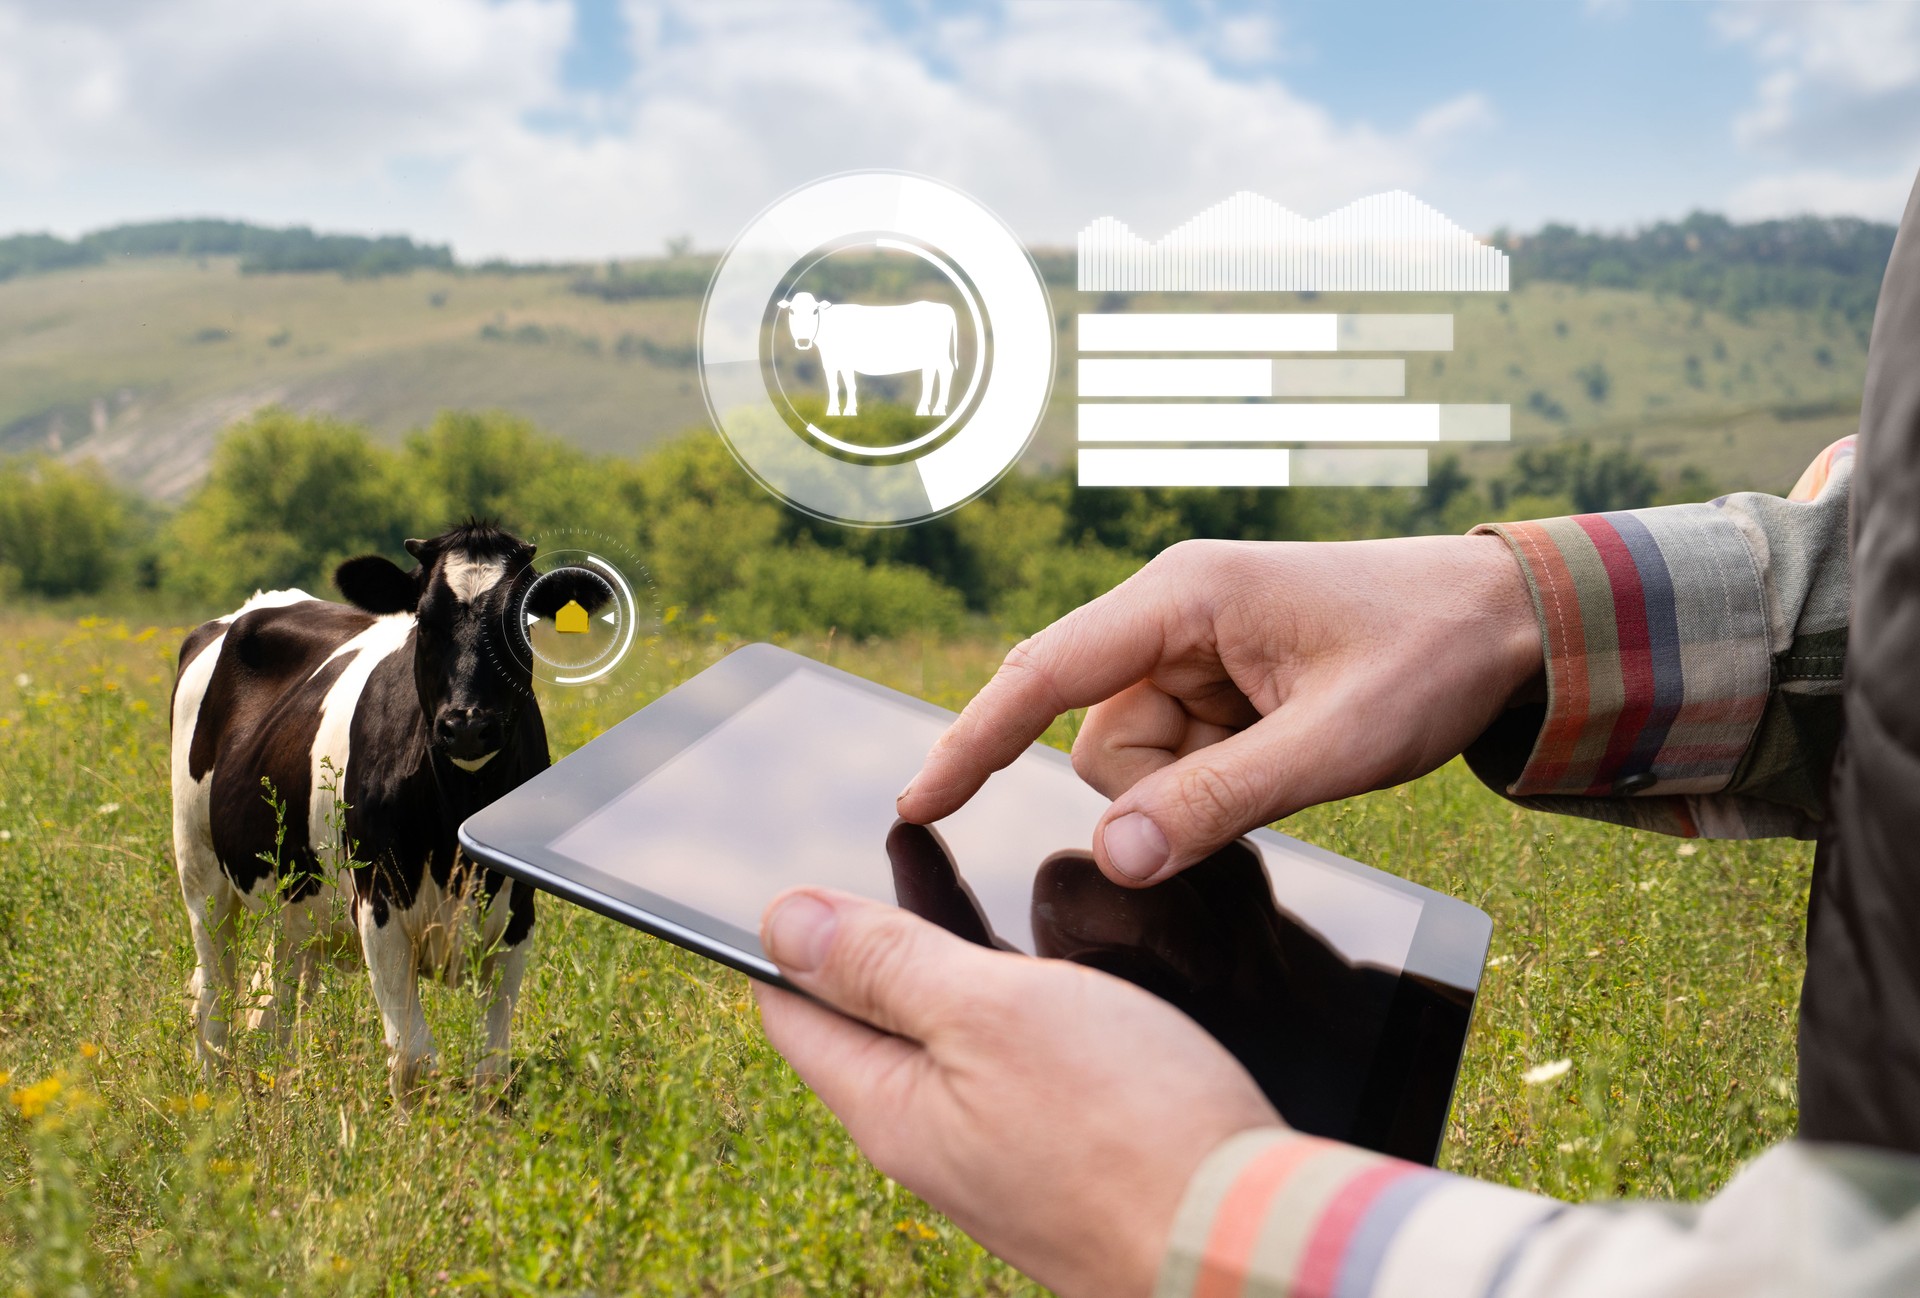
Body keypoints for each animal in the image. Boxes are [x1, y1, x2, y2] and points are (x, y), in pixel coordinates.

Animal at [170, 522, 599, 1098]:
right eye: (424, 620)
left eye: (519, 623)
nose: (467, 724)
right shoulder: (379, 907)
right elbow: (414, 1061)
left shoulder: (518, 918)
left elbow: (491, 1069)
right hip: (200, 866)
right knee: (214, 988)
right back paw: (213, 1095)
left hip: (296, 897)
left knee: (275, 1000)